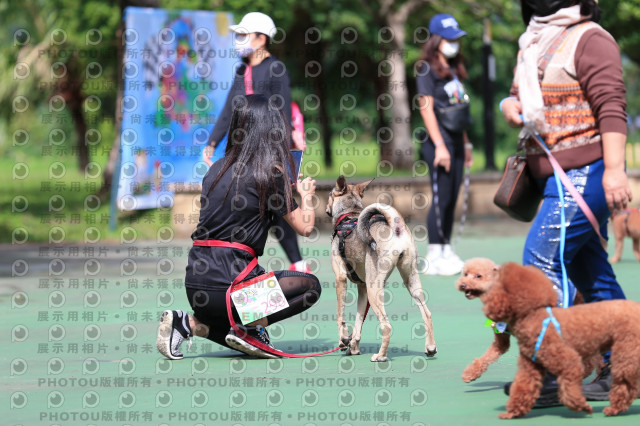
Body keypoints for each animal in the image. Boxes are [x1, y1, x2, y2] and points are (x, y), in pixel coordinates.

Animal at [328, 175, 438, 362]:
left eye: (329, 195)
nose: (327, 209)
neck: (349, 215)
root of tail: (396, 226)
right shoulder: (363, 289)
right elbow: (358, 322)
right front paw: (353, 346)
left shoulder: (341, 278)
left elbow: (340, 315)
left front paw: (343, 340)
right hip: (411, 281)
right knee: (427, 314)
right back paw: (430, 347)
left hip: (375, 289)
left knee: (387, 326)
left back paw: (381, 355)